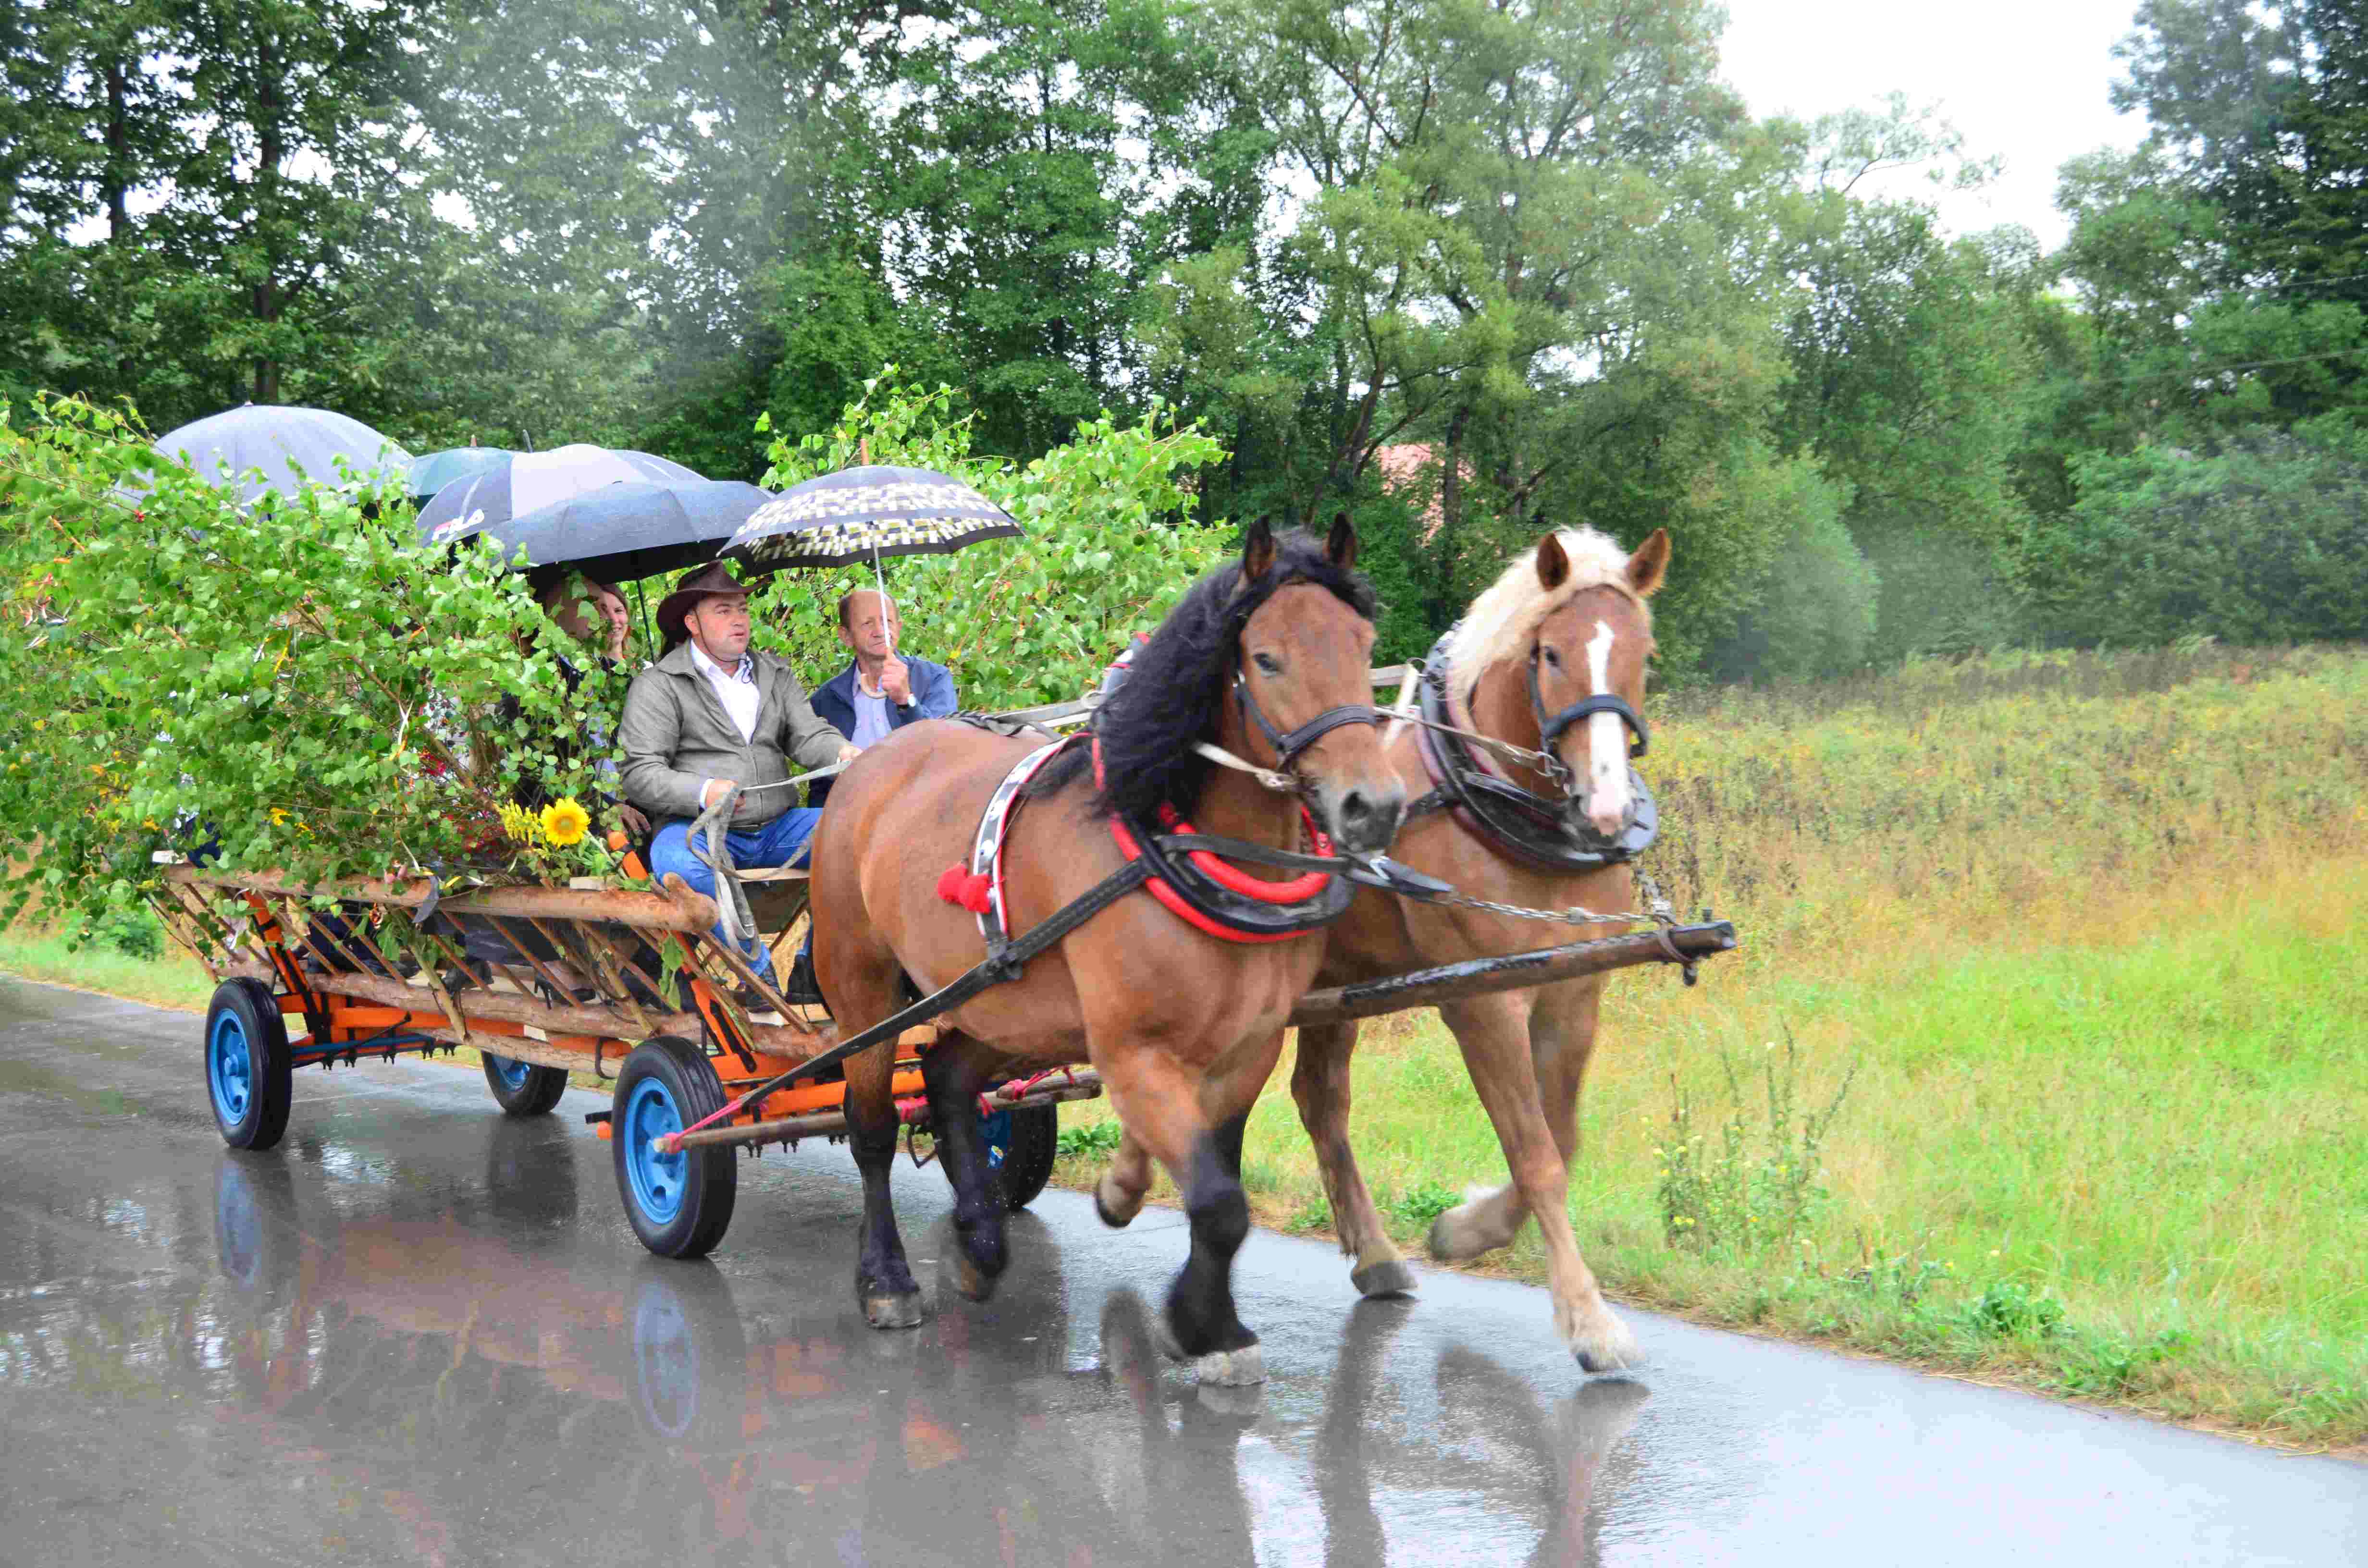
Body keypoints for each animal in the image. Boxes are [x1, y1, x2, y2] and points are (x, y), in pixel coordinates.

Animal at [808, 517, 1404, 1384]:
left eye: (1363, 643)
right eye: (1267, 658)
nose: (1374, 805)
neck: (1170, 842)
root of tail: (866, 768)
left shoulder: (1247, 1046)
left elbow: (1220, 1186)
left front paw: (1211, 1321)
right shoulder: (1134, 1053)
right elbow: (1217, 1200)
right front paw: (1195, 1319)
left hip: (1007, 1002)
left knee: (950, 1079)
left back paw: (981, 1243)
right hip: (865, 989)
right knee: (875, 1126)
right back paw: (886, 1278)